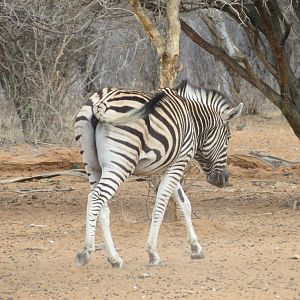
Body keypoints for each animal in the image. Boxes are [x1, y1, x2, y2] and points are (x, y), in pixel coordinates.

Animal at [74, 80, 243, 268]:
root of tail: (100, 102)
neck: (193, 119)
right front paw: (153, 253)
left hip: (92, 165)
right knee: (97, 197)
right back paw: (86, 252)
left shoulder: (169, 165)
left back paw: (114, 258)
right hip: (120, 163)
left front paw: (195, 248)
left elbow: (185, 204)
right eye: (228, 137)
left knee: (101, 205)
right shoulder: (179, 161)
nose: (223, 180)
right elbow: (160, 207)